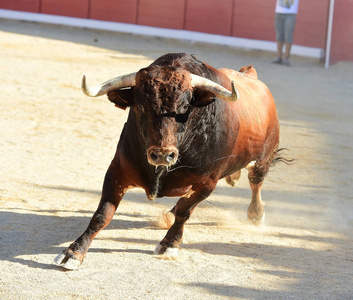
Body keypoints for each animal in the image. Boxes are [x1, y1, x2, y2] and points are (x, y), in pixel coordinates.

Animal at [55, 53, 284, 270]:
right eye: (140, 106)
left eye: (184, 107)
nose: (163, 155)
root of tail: (250, 75)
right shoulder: (116, 172)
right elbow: (102, 214)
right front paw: (74, 252)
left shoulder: (206, 183)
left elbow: (185, 211)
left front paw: (169, 244)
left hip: (263, 159)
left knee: (255, 182)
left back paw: (255, 214)